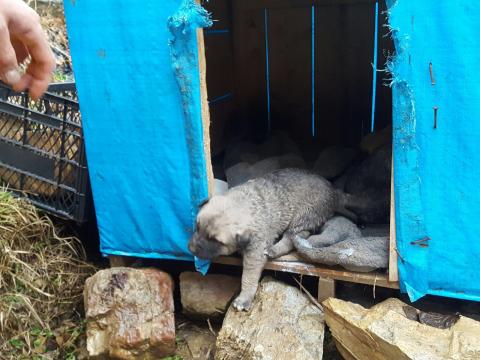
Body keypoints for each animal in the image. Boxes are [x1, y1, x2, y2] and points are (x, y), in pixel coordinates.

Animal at [189, 167, 358, 310]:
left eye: (216, 241)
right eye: (197, 226)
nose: (190, 248)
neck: (243, 204)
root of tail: (333, 191)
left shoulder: (255, 250)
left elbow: (248, 276)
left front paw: (244, 298)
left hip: (304, 214)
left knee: (294, 237)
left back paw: (274, 250)